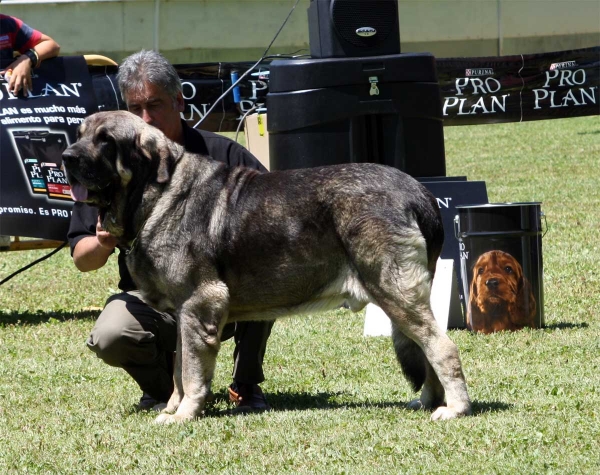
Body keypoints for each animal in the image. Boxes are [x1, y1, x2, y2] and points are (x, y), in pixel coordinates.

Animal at [63, 111, 472, 424]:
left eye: (106, 140)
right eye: (79, 135)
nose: (66, 157)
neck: (157, 193)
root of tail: (420, 193)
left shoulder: (199, 303)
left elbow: (192, 372)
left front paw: (184, 415)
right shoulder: (183, 315)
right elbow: (179, 369)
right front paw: (172, 408)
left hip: (395, 292)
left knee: (442, 346)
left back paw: (454, 408)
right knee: (425, 348)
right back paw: (428, 400)